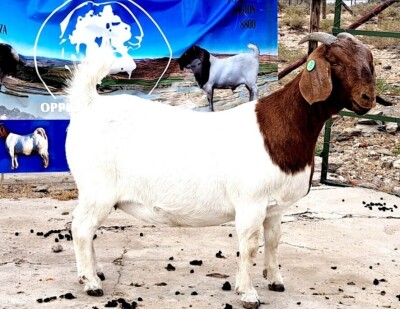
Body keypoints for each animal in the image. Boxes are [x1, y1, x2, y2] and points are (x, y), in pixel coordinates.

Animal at [65, 32, 376, 306]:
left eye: (369, 59)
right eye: (334, 61)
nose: (367, 98)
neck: (283, 126)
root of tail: (88, 105)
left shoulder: (275, 208)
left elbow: (274, 241)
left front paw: (275, 280)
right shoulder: (251, 203)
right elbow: (249, 246)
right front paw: (248, 294)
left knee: (86, 230)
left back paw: (94, 273)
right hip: (98, 191)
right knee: (81, 228)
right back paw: (91, 283)